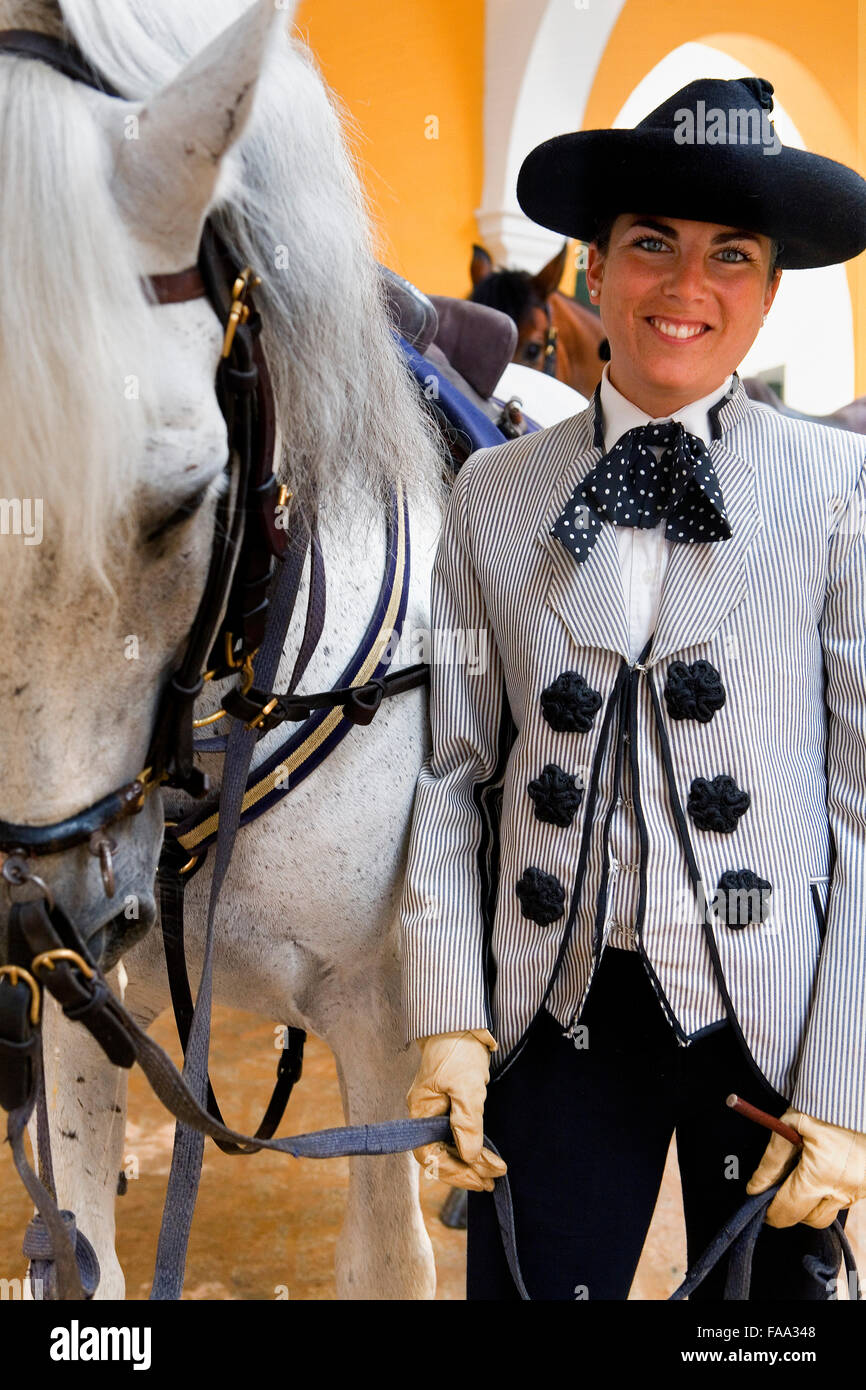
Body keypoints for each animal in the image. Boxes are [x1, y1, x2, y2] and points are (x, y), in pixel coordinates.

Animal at [0, 2, 447, 1301]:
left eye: (179, 504)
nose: (37, 922)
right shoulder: (84, 1005)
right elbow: (80, 1241)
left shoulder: (372, 1006)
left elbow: (385, 1252)